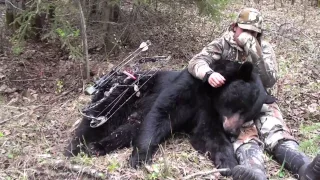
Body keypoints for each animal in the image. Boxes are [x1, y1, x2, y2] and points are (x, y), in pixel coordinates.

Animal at [65, 59, 276, 175]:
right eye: (240, 105)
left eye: (249, 115)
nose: (232, 131)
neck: (211, 94)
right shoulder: (187, 89)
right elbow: (162, 113)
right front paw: (140, 158)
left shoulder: (210, 113)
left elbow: (208, 134)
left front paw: (229, 163)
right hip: (125, 94)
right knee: (101, 118)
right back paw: (76, 147)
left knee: (128, 130)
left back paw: (98, 147)